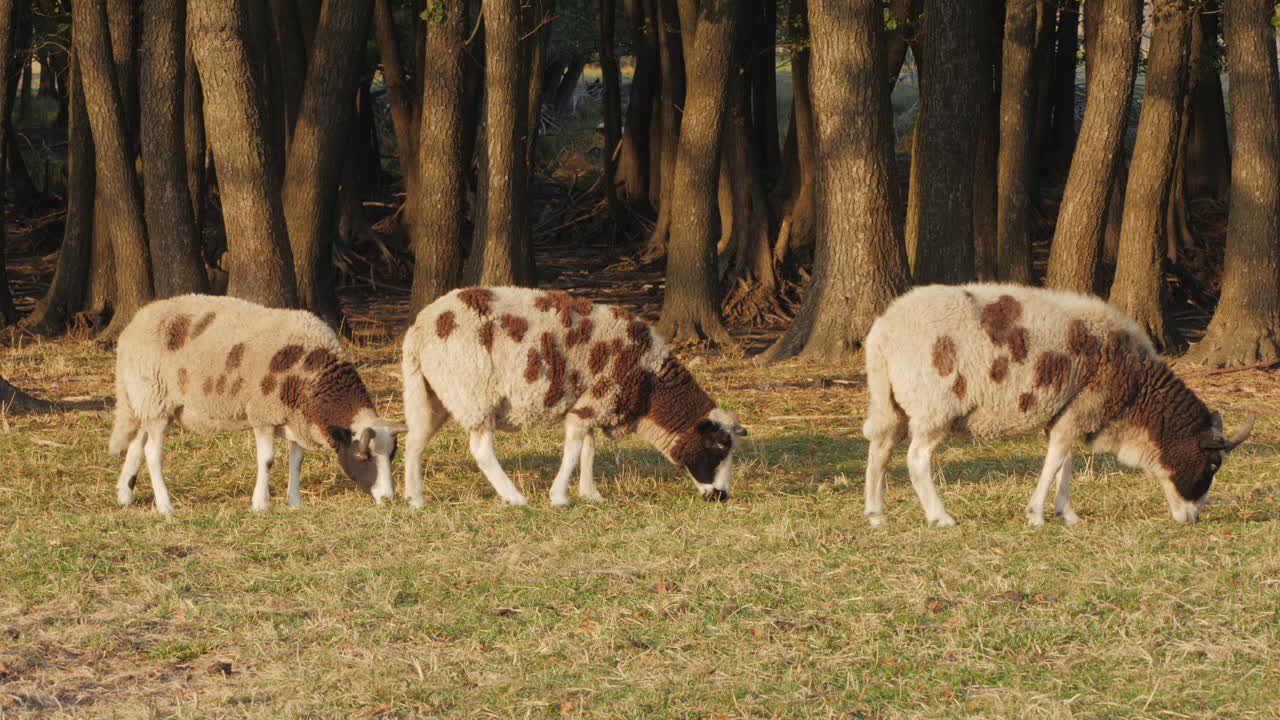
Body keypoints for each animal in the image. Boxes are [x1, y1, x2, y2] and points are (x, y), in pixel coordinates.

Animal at [110, 294, 405, 513]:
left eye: (392, 455)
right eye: (361, 456)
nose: (388, 498)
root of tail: (133, 325)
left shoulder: (296, 417)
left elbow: (296, 459)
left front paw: (295, 501)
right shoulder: (263, 413)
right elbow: (267, 460)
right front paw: (260, 504)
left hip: (148, 402)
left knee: (136, 444)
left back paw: (125, 494)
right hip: (154, 398)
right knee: (152, 453)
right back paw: (165, 506)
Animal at [400, 286, 747, 507]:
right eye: (718, 446)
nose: (721, 496)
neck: (649, 385)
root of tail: (420, 328)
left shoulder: (592, 405)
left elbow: (588, 451)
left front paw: (589, 494)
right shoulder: (594, 400)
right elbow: (573, 452)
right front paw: (559, 498)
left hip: (431, 392)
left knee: (414, 441)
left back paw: (415, 498)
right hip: (474, 391)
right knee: (481, 451)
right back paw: (515, 498)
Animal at [862, 283, 1255, 527]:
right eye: (1213, 464)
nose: (1194, 519)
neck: (1136, 393)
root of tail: (882, 333)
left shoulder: (1070, 412)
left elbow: (1066, 463)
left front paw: (1066, 513)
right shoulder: (1083, 408)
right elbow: (1054, 463)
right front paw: (1036, 514)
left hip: (892, 403)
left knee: (879, 451)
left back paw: (876, 513)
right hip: (934, 405)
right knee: (916, 460)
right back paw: (940, 516)